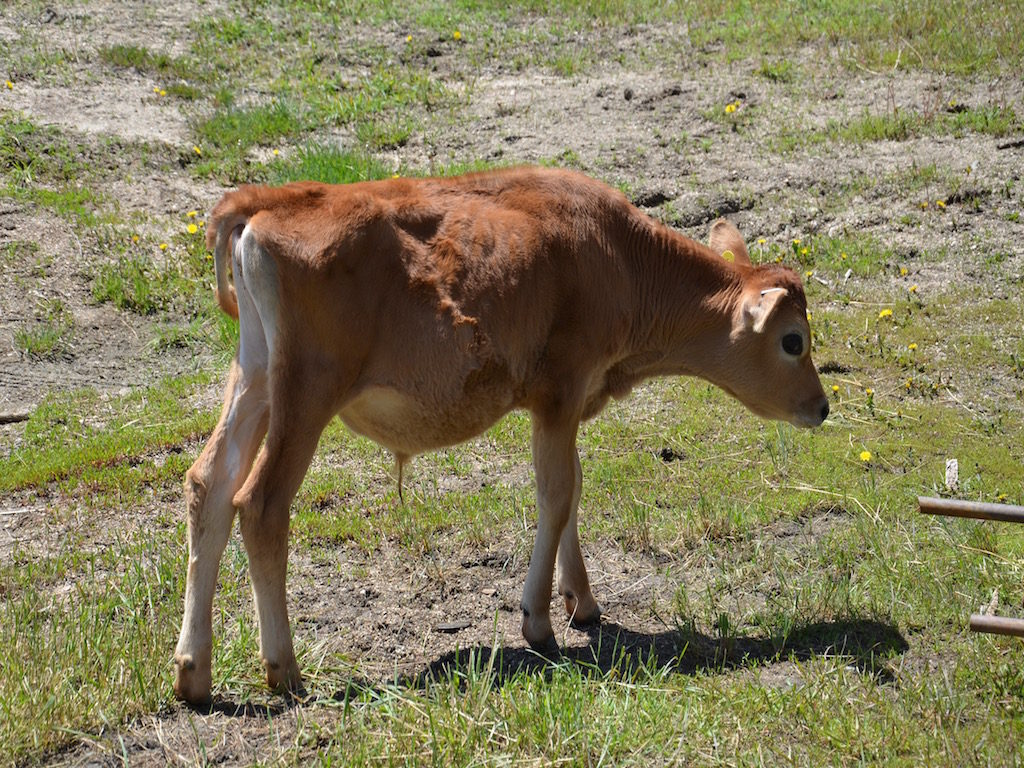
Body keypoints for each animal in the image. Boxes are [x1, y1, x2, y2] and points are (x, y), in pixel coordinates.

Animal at [173, 166, 829, 704]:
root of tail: (271, 200)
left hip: (255, 377)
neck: (617, 256)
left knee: (209, 484)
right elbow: (557, 494)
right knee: (261, 505)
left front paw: (582, 602)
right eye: (793, 340)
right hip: (306, 394)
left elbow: (573, 491)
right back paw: (284, 670)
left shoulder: (564, 407)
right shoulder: (559, 391)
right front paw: (538, 622)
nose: (822, 408)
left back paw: (193, 674)